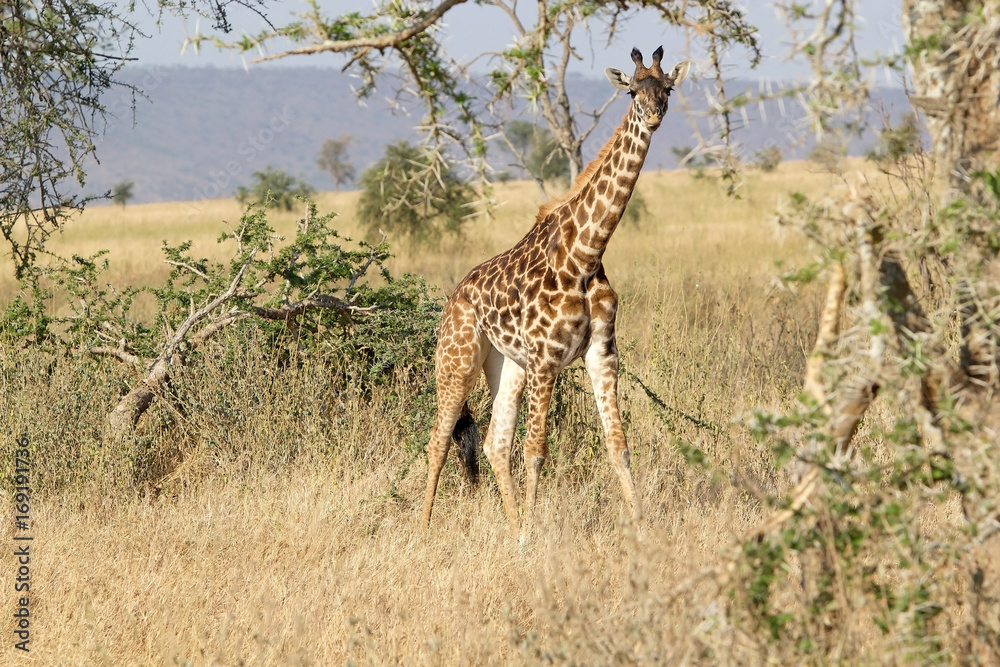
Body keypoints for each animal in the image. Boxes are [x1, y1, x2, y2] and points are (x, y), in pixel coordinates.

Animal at [422, 46, 690, 529]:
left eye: (668, 87)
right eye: (631, 90)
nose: (653, 115)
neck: (585, 255)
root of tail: (452, 298)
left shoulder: (602, 353)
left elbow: (618, 446)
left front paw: (641, 527)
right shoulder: (547, 358)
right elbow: (536, 451)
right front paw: (532, 534)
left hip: (507, 364)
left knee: (493, 442)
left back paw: (509, 526)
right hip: (457, 360)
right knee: (439, 439)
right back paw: (425, 527)